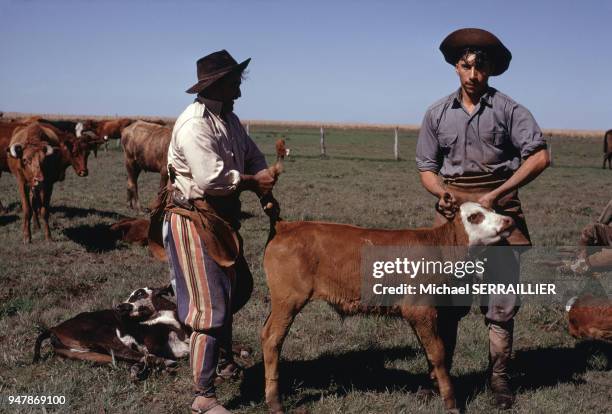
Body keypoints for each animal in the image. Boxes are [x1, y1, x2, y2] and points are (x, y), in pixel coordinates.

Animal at [33, 284, 189, 378]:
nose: (119, 306)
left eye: (139, 294)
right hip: (104, 336)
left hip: (87, 353)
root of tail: (53, 329)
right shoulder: (152, 341)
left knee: (126, 360)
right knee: (140, 356)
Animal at [260, 198, 512, 414]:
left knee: (265, 334)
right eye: (474, 216)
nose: (508, 221)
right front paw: (451, 402)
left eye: (492, 209)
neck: (439, 249)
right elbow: (438, 352)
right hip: (288, 300)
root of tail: (285, 225)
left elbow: (430, 351)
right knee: (273, 339)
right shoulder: (420, 309)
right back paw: (275, 402)